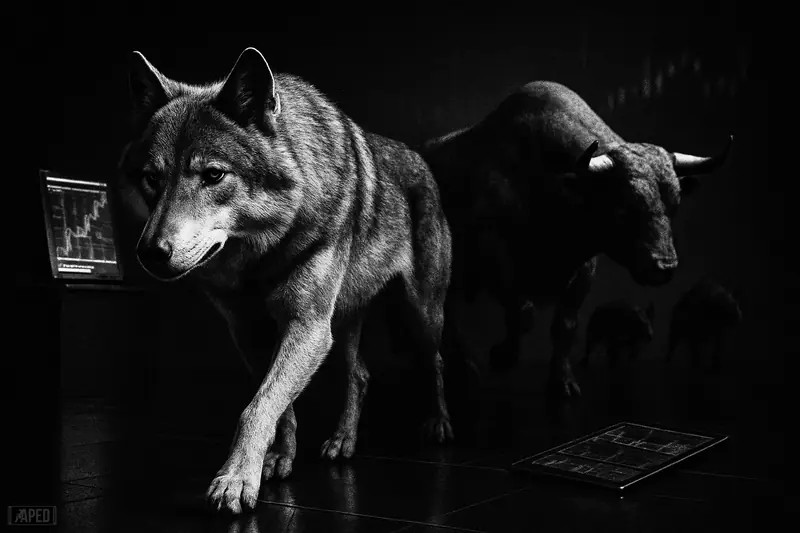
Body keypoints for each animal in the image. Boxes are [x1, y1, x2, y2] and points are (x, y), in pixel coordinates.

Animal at [117, 47, 454, 514]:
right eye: (152, 178)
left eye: (213, 175)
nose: (150, 252)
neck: (260, 257)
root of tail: (418, 155)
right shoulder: (251, 332)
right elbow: (279, 405)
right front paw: (276, 459)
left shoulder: (306, 326)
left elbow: (258, 407)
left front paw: (235, 480)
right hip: (342, 324)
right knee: (361, 374)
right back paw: (343, 441)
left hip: (420, 315)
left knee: (434, 362)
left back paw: (438, 424)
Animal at [420, 81, 732, 398]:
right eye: (623, 208)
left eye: (674, 204)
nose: (664, 267)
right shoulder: (496, 256)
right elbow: (523, 313)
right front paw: (503, 356)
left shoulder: (583, 270)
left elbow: (565, 326)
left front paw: (562, 382)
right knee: (450, 318)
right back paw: (467, 368)